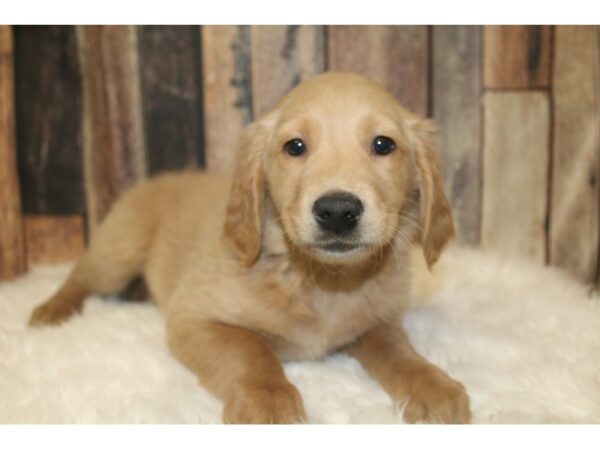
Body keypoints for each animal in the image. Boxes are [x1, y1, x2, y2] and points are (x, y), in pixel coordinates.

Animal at [29, 72, 468, 424]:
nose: (338, 211)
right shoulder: (194, 317)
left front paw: (433, 384)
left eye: (383, 144)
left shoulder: (378, 322)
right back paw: (51, 312)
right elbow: (249, 350)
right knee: (80, 276)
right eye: (295, 146)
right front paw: (267, 399)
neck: (319, 281)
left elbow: (398, 350)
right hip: (118, 249)